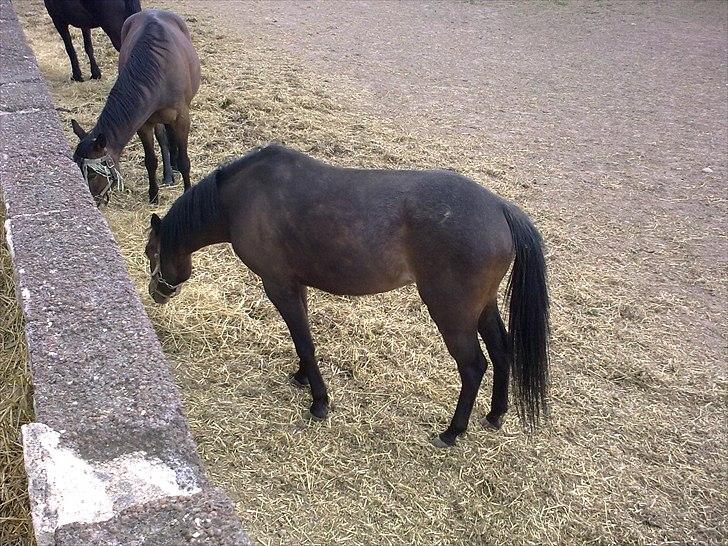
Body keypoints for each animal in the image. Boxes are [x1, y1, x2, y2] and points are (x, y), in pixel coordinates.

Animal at [70, 8, 199, 204]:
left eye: (92, 174)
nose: (89, 201)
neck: (159, 72)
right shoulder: (143, 123)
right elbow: (150, 160)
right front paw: (153, 195)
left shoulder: (182, 118)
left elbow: (185, 161)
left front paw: (186, 189)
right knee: (163, 137)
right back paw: (169, 172)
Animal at [144, 144, 552, 446]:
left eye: (150, 252)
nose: (156, 293)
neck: (243, 198)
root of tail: (500, 208)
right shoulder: (295, 285)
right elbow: (304, 339)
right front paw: (302, 377)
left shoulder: (277, 285)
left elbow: (303, 340)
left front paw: (319, 402)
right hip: (481, 307)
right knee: (501, 351)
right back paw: (495, 414)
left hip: (452, 315)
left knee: (473, 366)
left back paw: (452, 432)